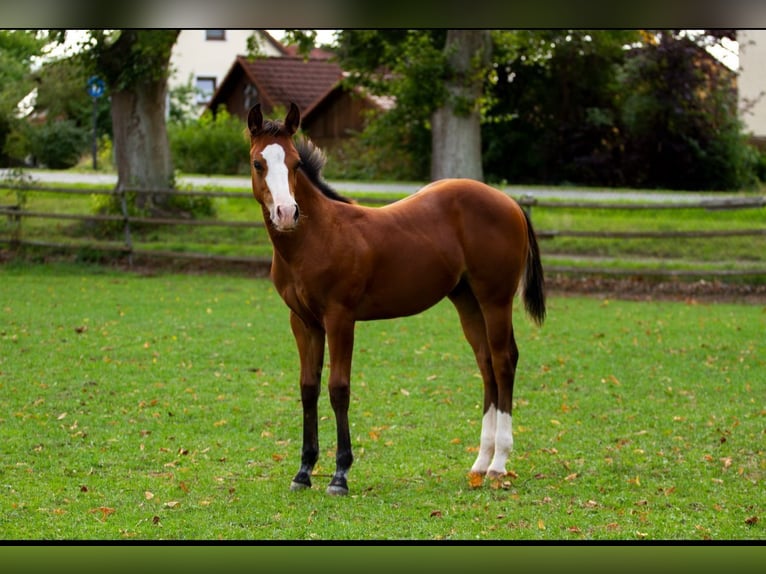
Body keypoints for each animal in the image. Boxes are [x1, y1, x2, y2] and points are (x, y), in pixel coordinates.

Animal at [247, 102, 546, 495]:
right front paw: (303, 472)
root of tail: (510, 202)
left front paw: (340, 475)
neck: (317, 236)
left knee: (503, 361)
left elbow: (338, 388)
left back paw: (498, 465)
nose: (286, 213)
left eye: (296, 163)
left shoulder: (340, 318)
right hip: (466, 300)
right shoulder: (303, 322)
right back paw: (480, 463)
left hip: (495, 299)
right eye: (258, 163)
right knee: (486, 365)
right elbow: (308, 388)